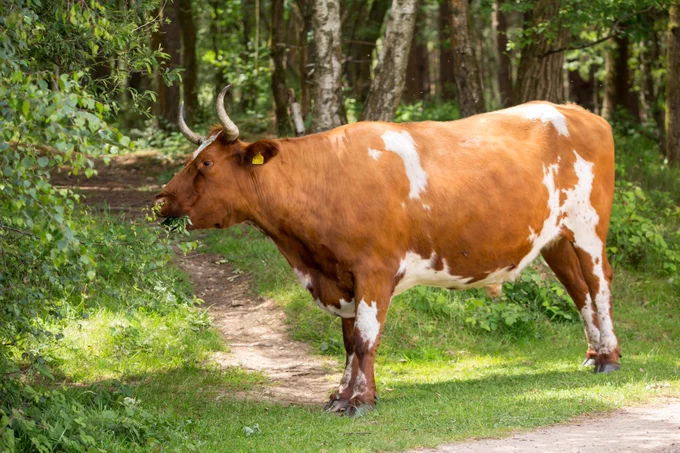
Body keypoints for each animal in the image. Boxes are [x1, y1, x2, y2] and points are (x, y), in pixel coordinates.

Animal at [155, 85, 620, 416]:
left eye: (206, 164)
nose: (160, 200)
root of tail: (579, 112)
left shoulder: (373, 271)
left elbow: (364, 340)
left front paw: (359, 401)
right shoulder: (338, 275)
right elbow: (346, 342)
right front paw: (340, 394)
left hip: (588, 229)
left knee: (599, 286)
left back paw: (610, 358)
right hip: (555, 239)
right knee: (578, 291)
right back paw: (592, 354)